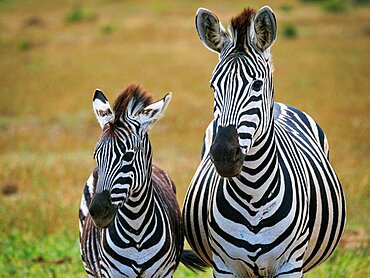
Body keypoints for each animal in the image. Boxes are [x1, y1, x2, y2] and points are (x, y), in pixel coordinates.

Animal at [79, 83, 205, 276]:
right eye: (96, 156)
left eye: (128, 156)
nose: (98, 211)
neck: (136, 227)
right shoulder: (110, 273)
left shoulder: (163, 273)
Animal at [184, 5, 346, 276]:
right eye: (213, 86)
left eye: (257, 85)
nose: (224, 156)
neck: (253, 193)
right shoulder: (224, 265)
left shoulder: (290, 264)